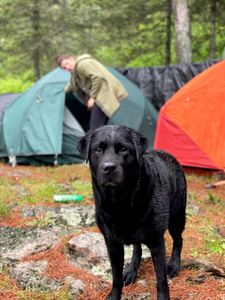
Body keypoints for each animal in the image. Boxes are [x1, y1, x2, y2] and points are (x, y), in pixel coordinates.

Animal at [77, 125, 186, 300]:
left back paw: (174, 265)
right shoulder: (111, 242)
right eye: (98, 149)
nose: (109, 167)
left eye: (123, 149)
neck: (120, 202)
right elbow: (116, 276)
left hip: (177, 217)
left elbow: (161, 280)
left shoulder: (156, 242)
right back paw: (131, 271)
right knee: (137, 248)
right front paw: (114, 295)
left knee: (178, 240)